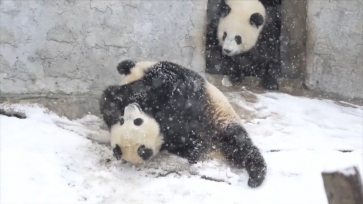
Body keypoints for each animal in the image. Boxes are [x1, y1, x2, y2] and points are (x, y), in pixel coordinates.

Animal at [99, 59, 268, 188]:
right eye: (123, 120)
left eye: (137, 121)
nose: (131, 107)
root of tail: (216, 147)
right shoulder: (173, 138)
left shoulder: (174, 80)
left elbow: (164, 84)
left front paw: (117, 96)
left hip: (221, 119)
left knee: (241, 143)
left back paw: (256, 176)